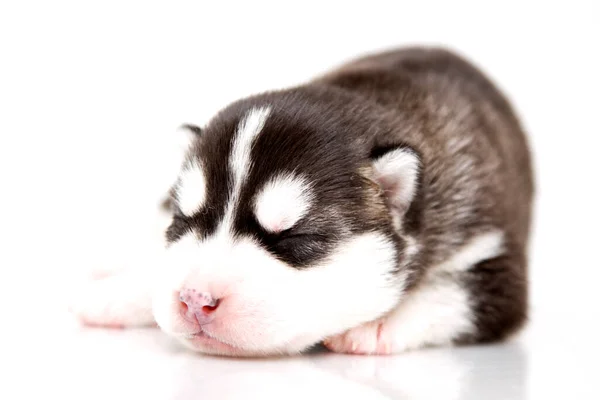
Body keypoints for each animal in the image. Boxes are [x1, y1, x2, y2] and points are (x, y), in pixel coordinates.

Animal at [71, 47, 536, 356]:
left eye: (292, 238)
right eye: (182, 221)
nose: (195, 299)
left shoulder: (497, 262)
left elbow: (453, 294)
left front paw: (377, 323)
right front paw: (120, 292)